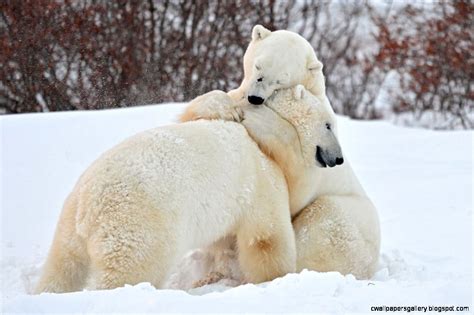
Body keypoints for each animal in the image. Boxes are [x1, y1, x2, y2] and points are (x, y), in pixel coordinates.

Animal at [35, 85, 342, 296]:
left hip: (68, 226)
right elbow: (266, 238)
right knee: (130, 269)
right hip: (138, 224)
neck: (264, 141)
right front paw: (275, 279)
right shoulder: (261, 180)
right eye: (328, 125)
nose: (338, 158)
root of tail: (89, 205)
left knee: (63, 267)